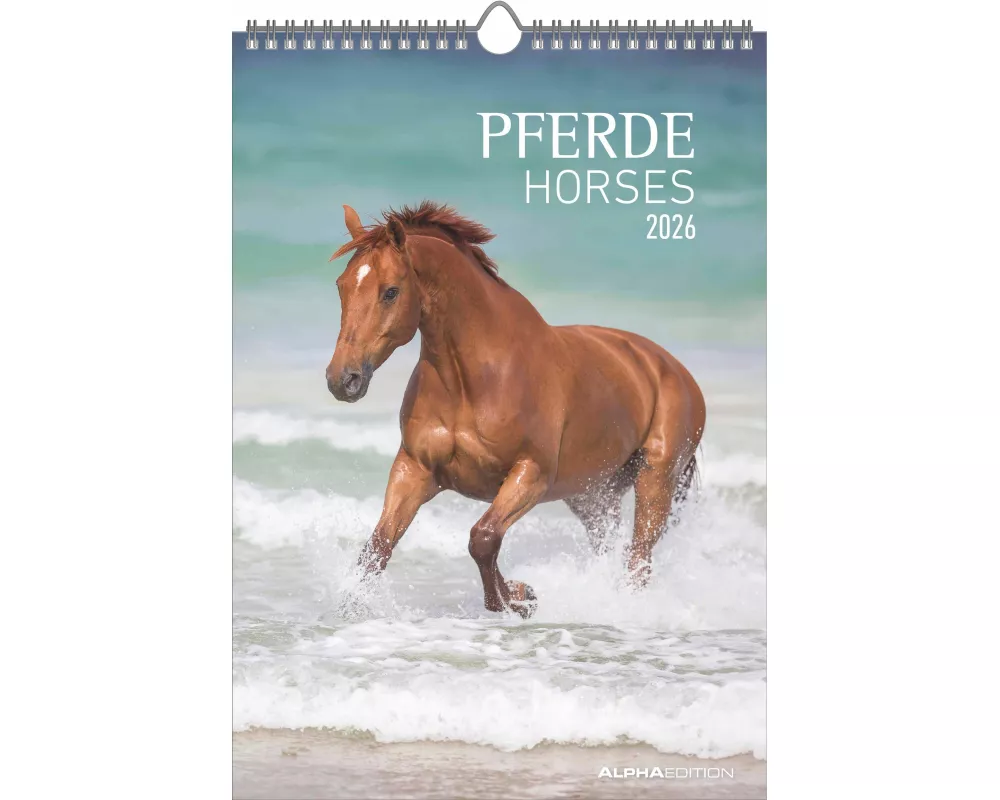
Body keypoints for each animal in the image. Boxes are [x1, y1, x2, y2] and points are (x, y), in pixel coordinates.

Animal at [326, 202, 706, 618]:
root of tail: (673, 368)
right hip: (592, 496)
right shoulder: (414, 469)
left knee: (639, 560)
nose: (342, 379)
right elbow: (377, 548)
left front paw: (520, 597)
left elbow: (483, 537)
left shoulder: (531, 473)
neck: (473, 379)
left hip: (655, 480)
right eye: (341, 286)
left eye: (390, 292)